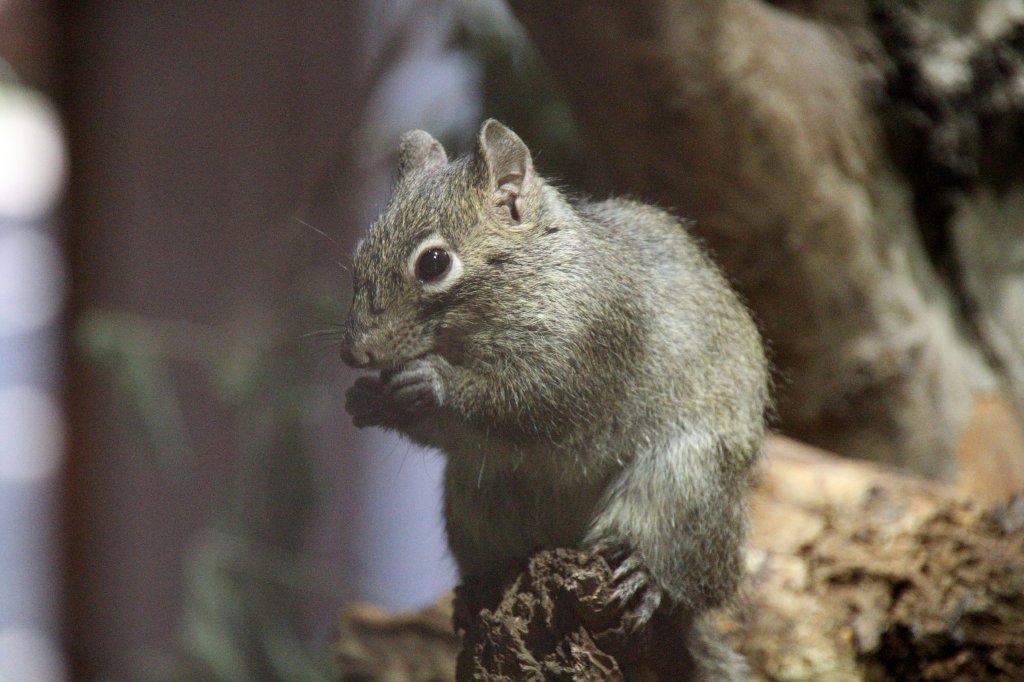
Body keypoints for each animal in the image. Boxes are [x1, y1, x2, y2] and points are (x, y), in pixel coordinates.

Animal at [342, 119, 770, 675]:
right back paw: (480, 588)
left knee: (680, 571)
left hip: (684, 487)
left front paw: (432, 385)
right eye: (359, 255)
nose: (355, 353)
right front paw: (366, 400)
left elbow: (530, 401)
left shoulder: (589, 345)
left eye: (434, 263)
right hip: (475, 503)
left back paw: (645, 577)